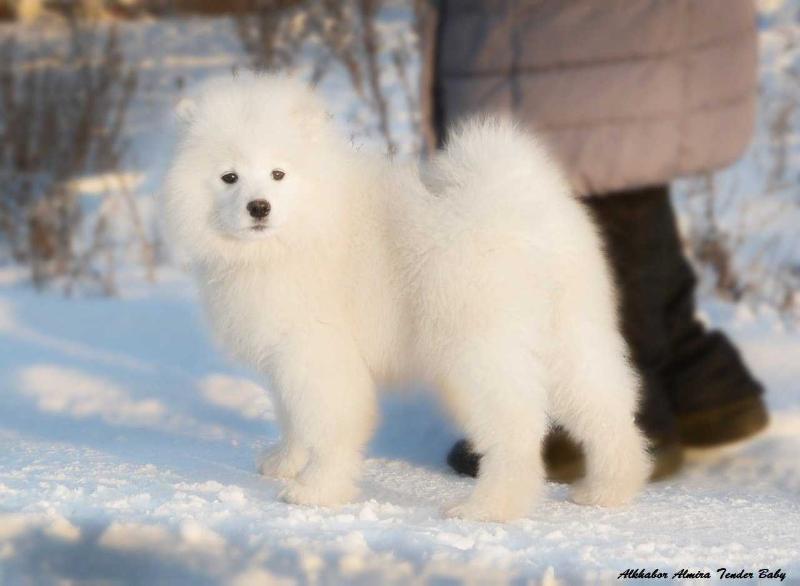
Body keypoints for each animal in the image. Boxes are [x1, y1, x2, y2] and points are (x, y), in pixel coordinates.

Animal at [161, 73, 648, 520]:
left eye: (278, 174)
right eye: (229, 177)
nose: (258, 207)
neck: (305, 225)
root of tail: (515, 207)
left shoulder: (315, 348)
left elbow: (328, 422)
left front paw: (316, 490)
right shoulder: (284, 353)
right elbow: (292, 415)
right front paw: (284, 461)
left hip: (477, 349)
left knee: (517, 429)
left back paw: (488, 507)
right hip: (571, 334)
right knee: (607, 411)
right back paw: (608, 489)